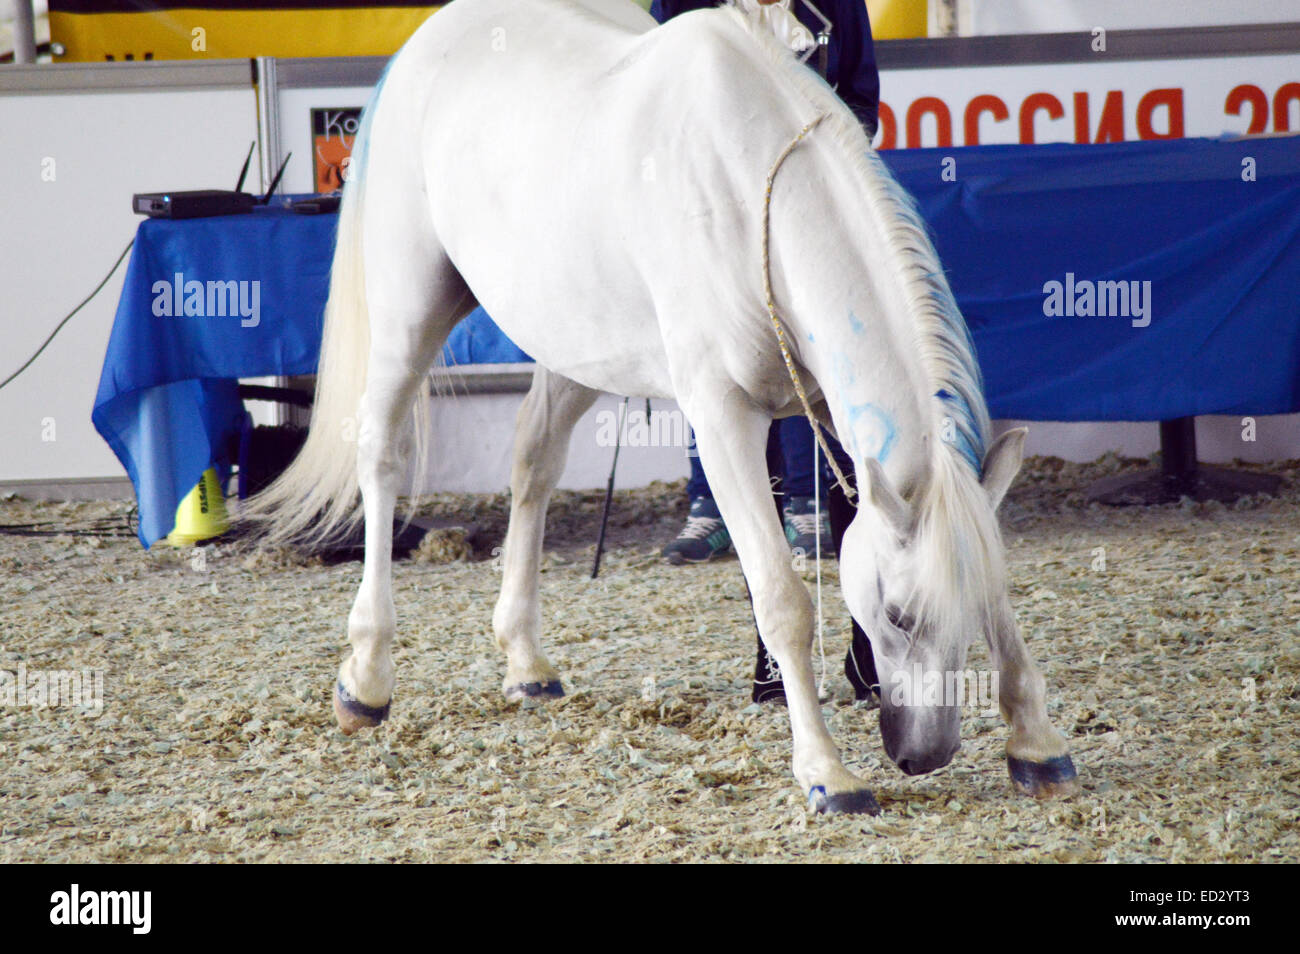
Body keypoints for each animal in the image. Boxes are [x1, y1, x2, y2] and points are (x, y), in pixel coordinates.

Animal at [245, 0, 1079, 814]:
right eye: (900, 616)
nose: (925, 753)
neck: (746, 195)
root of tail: (429, 38)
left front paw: (1035, 743)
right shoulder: (723, 420)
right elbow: (781, 598)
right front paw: (827, 773)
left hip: (575, 346)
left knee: (533, 460)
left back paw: (525, 660)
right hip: (408, 310)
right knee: (381, 456)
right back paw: (366, 677)